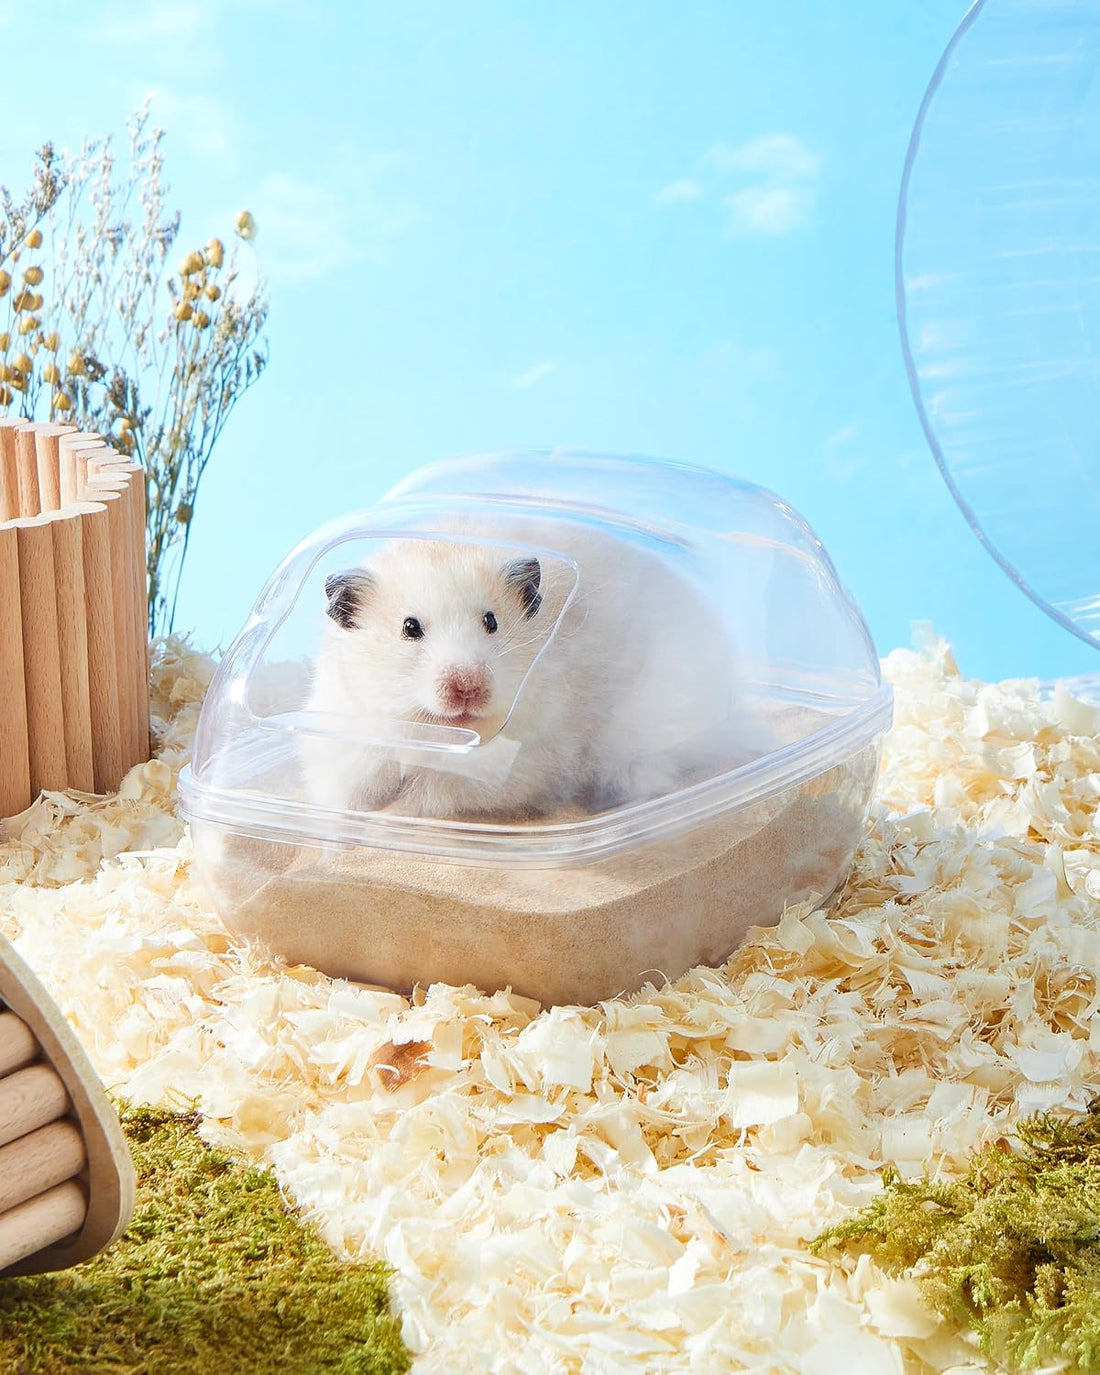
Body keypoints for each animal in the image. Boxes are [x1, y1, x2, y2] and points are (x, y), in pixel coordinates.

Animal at [300, 519, 771, 819]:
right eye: (409, 628)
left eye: (491, 621)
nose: (468, 687)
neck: (435, 733)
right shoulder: (346, 742)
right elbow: (348, 792)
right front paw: (341, 830)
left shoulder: (518, 767)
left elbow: (429, 794)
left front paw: (388, 819)